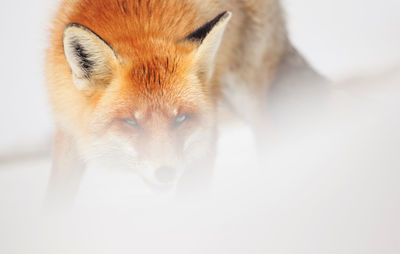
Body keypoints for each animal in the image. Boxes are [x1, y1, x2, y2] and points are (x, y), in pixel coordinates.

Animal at [45, 0, 302, 202]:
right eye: (130, 122)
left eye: (181, 118)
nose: (166, 173)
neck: (140, 27)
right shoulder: (68, 125)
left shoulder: (204, 136)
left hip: (249, 97)